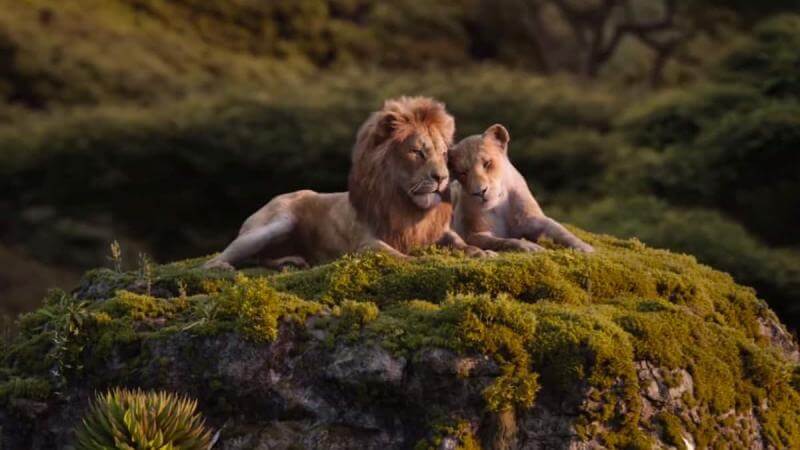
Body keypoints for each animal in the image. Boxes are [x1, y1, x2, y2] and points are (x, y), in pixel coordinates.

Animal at [203, 96, 489, 270]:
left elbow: (461, 243)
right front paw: (417, 261)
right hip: (278, 221)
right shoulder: (364, 244)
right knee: (221, 259)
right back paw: (222, 267)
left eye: (443, 153)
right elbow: (394, 254)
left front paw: (481, 253)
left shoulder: (438, 232)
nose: (441, 178)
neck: (407, 205)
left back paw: (291, 261)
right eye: (417, 152)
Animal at [449, 124, 594, 253]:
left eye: (487, 163)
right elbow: (501, 241)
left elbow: (558, 230)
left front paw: (585, 247)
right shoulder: (473, 234)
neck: (499, 207)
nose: (480, 191)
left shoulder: (532, 219)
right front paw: (530, 247)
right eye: (462, 173)